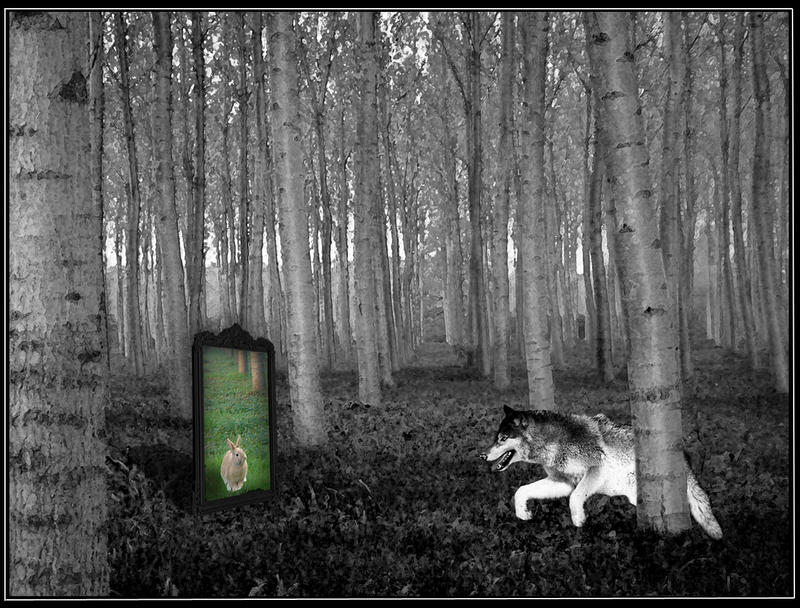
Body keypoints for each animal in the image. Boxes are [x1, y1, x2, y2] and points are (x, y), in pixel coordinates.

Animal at [480, 405, 723, 539]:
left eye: (502, 438)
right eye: (496, 438)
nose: (483, 455)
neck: (554, 442)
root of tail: (685, 456)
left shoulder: (595, 470)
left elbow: (575, 498)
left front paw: (579, 520)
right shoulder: (562, 482)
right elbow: (521, 491)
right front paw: (523, 514)